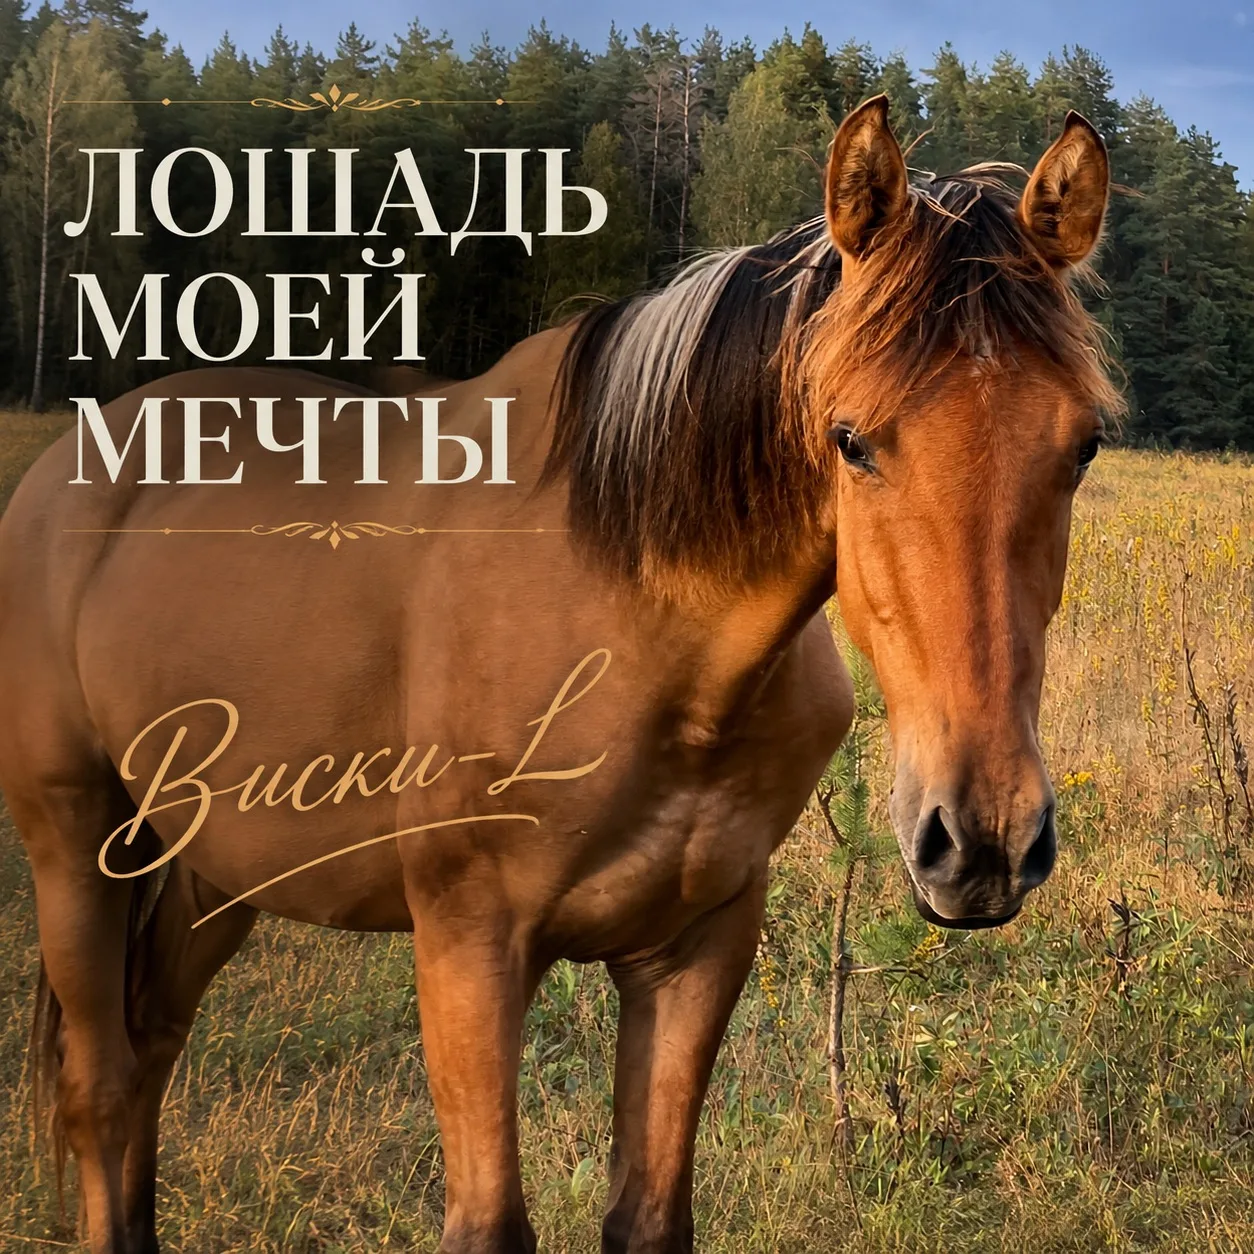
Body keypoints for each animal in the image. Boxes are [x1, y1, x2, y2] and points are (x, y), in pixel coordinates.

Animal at [0, 97, 1120, 1253]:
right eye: (850, 439)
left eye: (1083, 445)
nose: (985, 837)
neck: (638, 623)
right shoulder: (470, 948)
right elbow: (492, 1222)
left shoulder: (696, 949)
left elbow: (648, 1217)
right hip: (76, 849)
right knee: (101, 1088)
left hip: (212, 873)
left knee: (149, 1061)